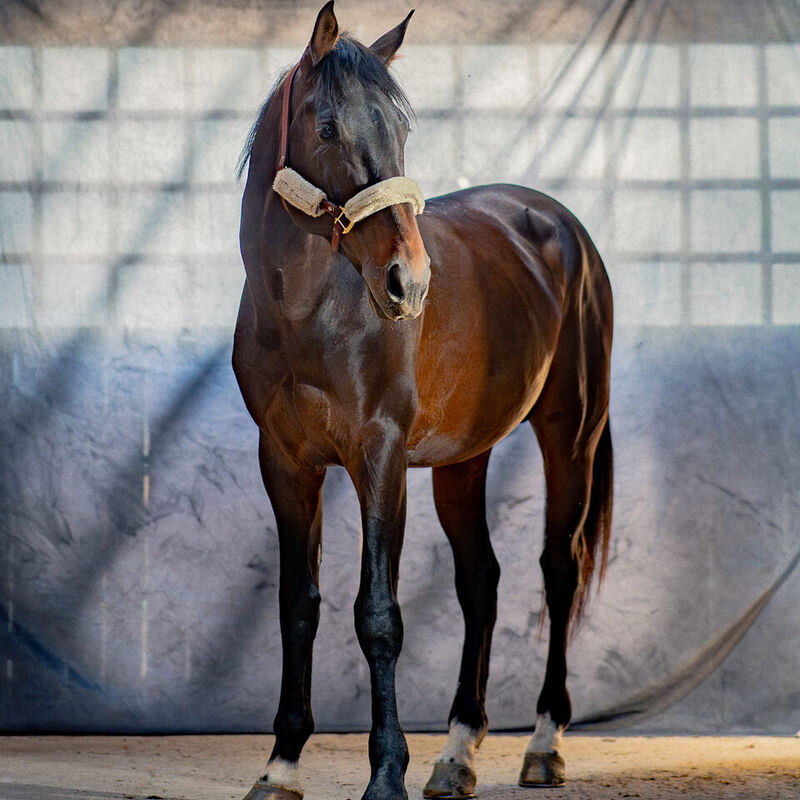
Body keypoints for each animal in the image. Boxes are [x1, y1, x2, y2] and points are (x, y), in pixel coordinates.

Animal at [233, 3, 613, 799]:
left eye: (401, 132)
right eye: (327, 129)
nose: (408, 282)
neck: (308, 314)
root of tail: (560, 224)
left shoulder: (378, 457)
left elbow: (378, 614)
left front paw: (386, 773)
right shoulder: (284, 462)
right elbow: (297, 605)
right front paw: (282, 765)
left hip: (571, 435)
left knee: (557, 569)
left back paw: (544, 744)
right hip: (462, 461)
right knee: (482, 581)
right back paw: (458, 751)